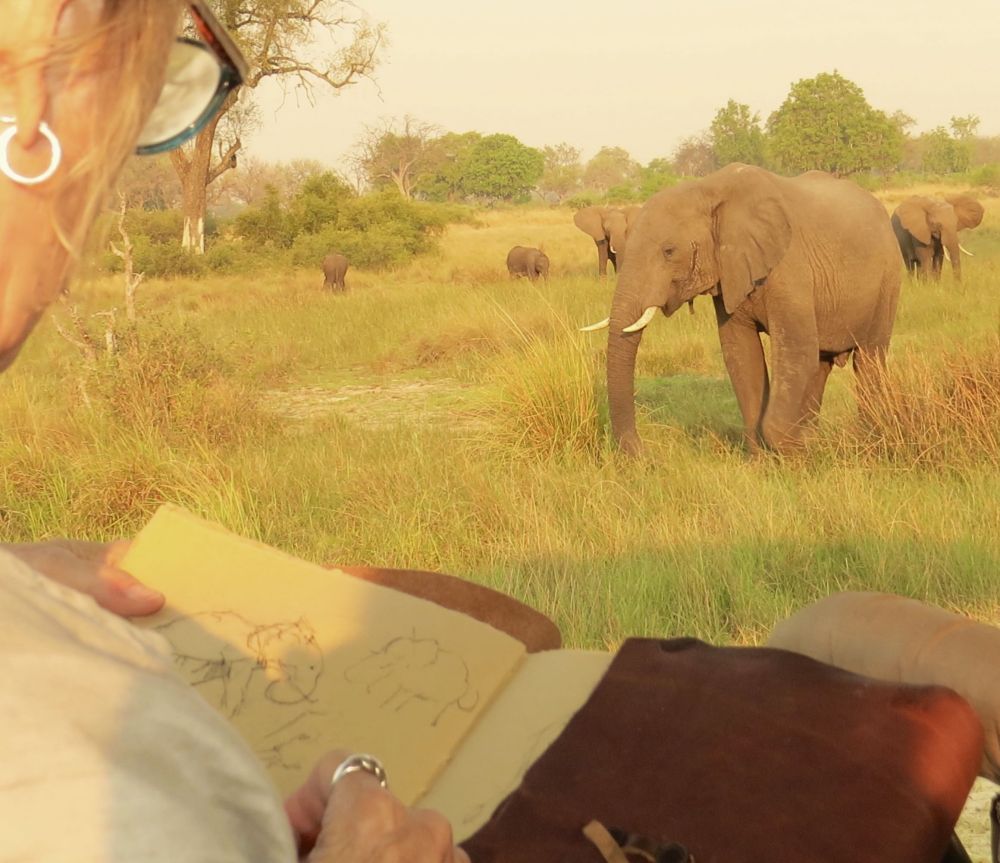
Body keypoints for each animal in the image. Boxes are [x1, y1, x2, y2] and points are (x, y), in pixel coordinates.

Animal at [584, 164, 902, 456]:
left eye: (669, 251)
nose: (646, 454)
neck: (707, 189)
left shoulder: (790, 265)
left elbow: (795, 349)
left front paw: (793, 454)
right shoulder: (730, 274)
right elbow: (741, 353)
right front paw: (765, 459)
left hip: (887, 282)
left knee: (869, 359)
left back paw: (870, 440)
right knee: (821, 364)